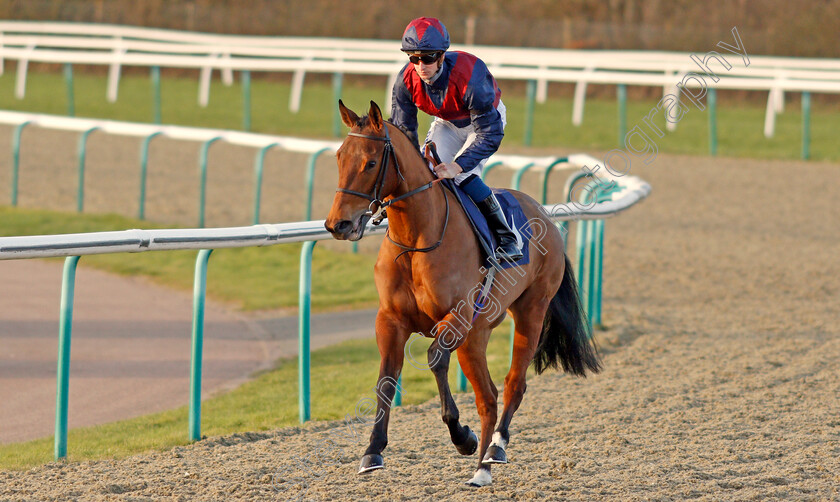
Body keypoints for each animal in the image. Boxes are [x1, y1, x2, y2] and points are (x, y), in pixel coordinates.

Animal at [324, 99, 600, 486]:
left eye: (371, 163)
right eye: (339, 157)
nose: (339, 224)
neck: (416, 240)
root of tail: (543, 213)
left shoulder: (456, 318)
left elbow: (434, 360)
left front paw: (462, 437)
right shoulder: (390, 320)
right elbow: (386, 381)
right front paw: (372, 451)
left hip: (529, 313)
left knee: (510, 386)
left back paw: (489, 457)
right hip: (478, 336)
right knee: (489, 394)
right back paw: (486, 455)